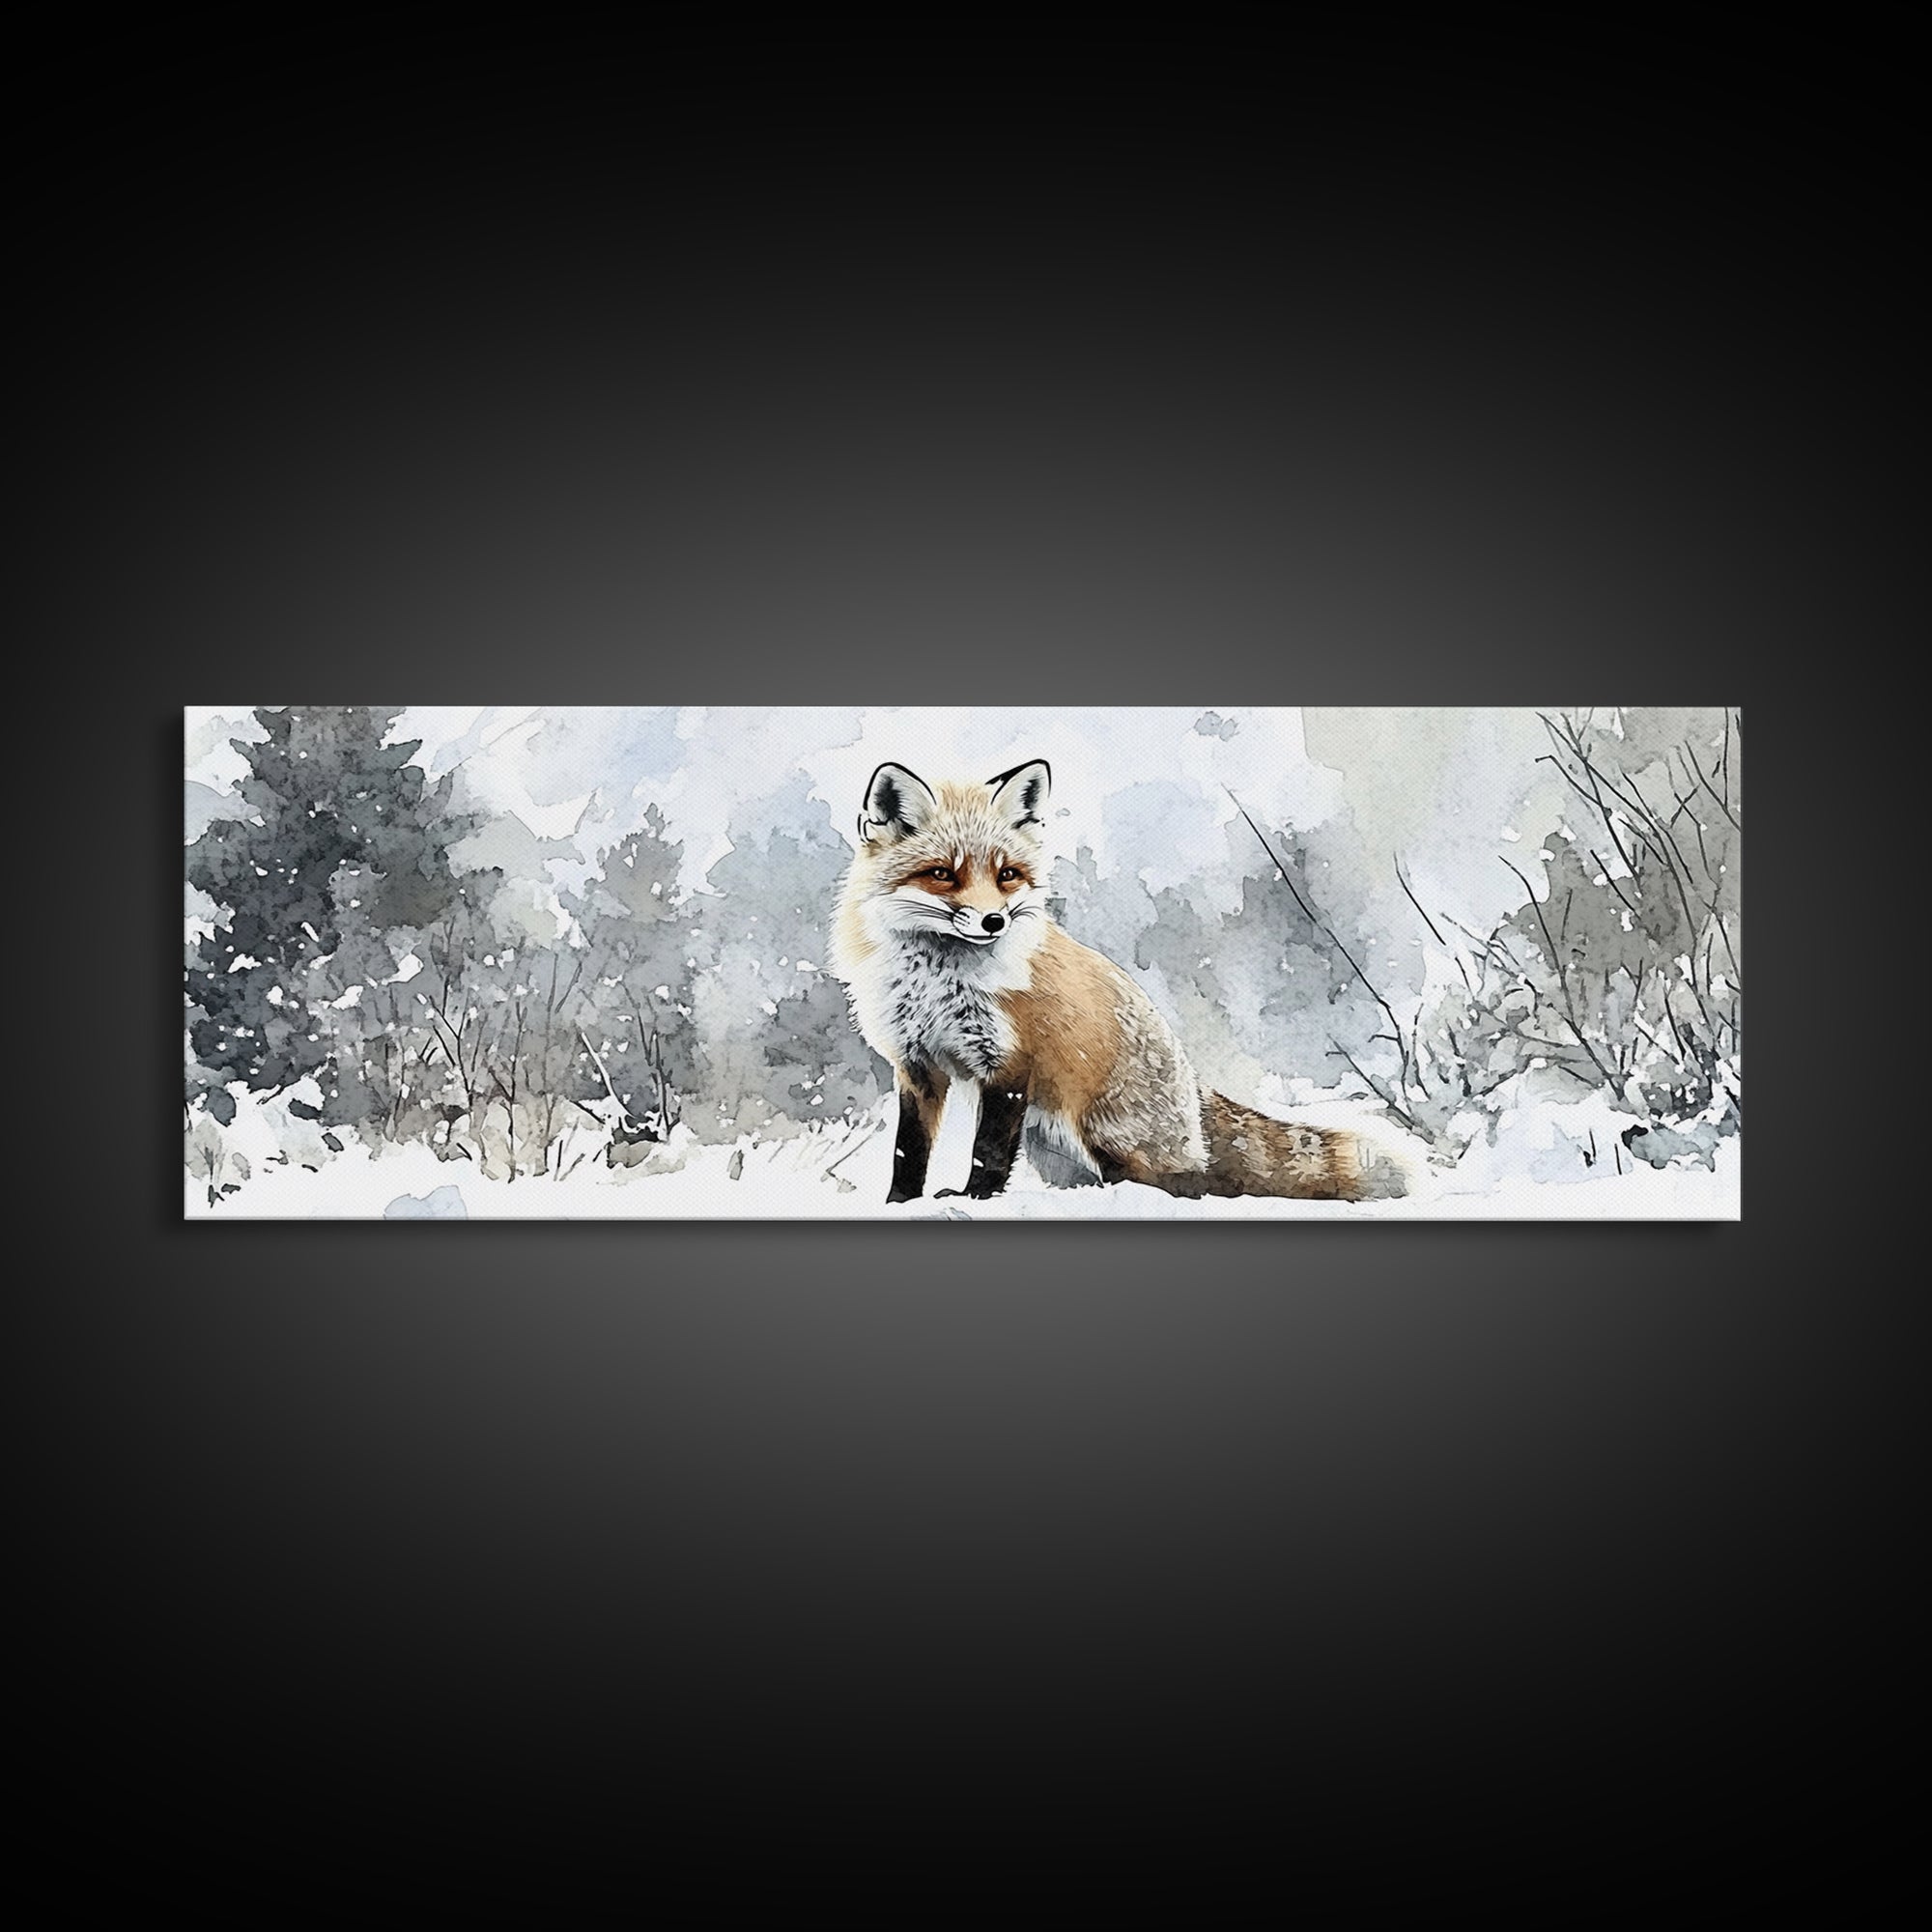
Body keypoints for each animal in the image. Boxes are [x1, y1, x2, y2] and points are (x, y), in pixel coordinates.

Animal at [829, 758, 1410, 1206]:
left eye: (1007, 875)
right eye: (942, 874)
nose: (993, 921)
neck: (937, 983)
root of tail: (1191, 1082)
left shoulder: (1010, 1062)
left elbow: (988, 1150)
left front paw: (975, 1199)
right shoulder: (916, 1063)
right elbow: (908, 1150)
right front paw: (899, 1203)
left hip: (1103, 1136)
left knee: (1185, 1184)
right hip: (1053, 1151)